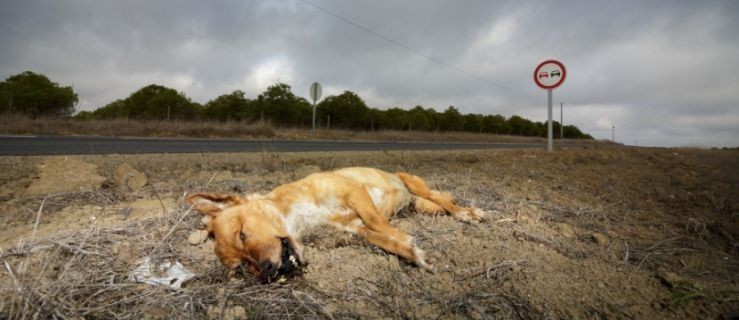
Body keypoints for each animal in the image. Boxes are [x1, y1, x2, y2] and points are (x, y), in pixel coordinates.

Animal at [188, 166, 482, 282]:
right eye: (242, 268)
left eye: (242, 233)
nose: (268, 271)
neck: (302, 219)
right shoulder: (356, 229)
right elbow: (386, 240)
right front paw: (413, 254)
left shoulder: (354, 193)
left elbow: (382, 225)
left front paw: (406, 240)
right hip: (420, 205)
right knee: (437, 203)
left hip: (414, 183)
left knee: (442, 200)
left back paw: (468, 213)